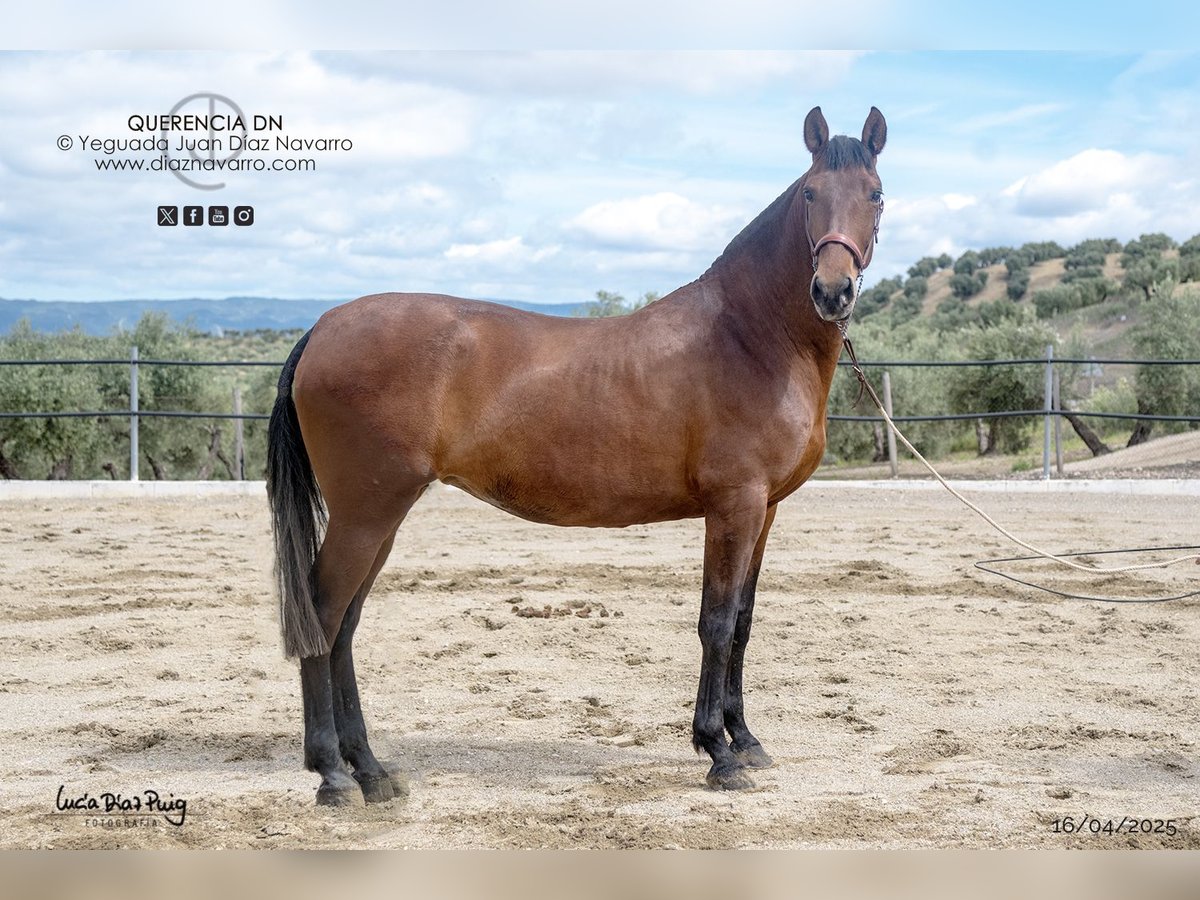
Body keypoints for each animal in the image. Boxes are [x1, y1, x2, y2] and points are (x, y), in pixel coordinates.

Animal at [266, 106, 887, 805]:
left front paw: (746, 741)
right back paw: (332, 774)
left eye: (875, 195)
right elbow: (717, 622)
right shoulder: (734, 506)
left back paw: (370, 769)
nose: (832, 291)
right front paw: (718, 753)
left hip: (380, 516)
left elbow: (744, 623)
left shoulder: (766, 511)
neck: (748, 336)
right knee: (323, 615)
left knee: (344, 623)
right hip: (365, 513)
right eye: (810, 194)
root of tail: (324, 327)